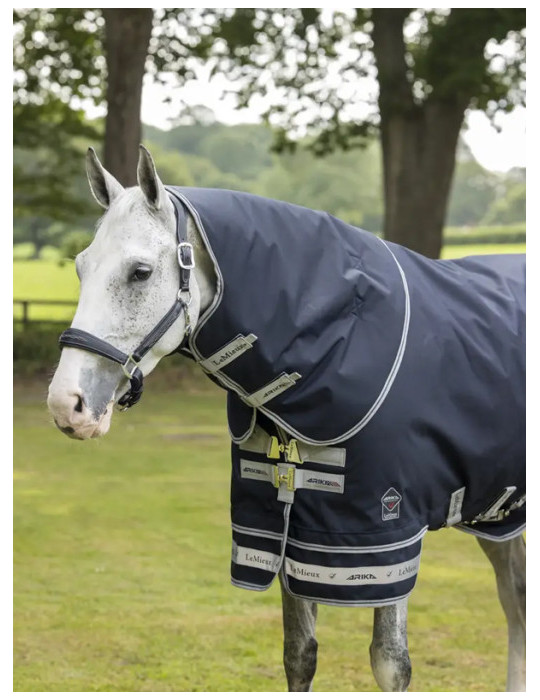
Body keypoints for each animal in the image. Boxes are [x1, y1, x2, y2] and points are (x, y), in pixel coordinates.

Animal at [47, 145, 526, 691]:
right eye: (80, 267)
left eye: (141, 272)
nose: (66, 403)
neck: (339, 341)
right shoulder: (289, 526)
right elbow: (299, 655)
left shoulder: (386, 539)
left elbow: (390, 662)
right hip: (497, 513)